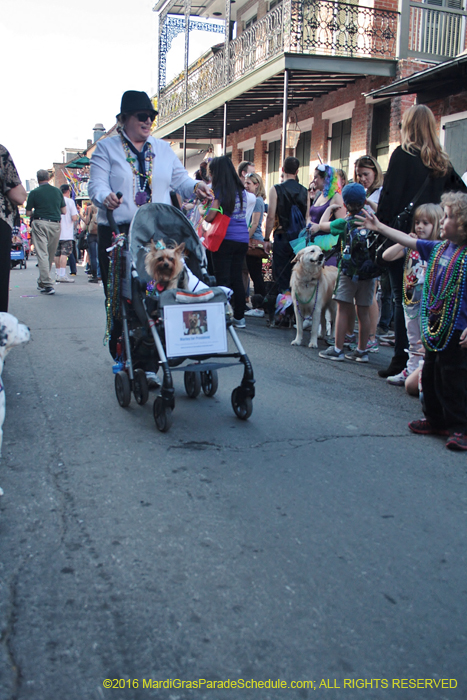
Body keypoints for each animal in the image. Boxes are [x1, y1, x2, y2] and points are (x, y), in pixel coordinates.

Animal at [107, 202, 256, 432]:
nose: (167, 265)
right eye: (160, 259)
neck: (165, 281)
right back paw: (131, 384)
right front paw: (162, 408)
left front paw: (243, 396)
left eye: (171, 259)